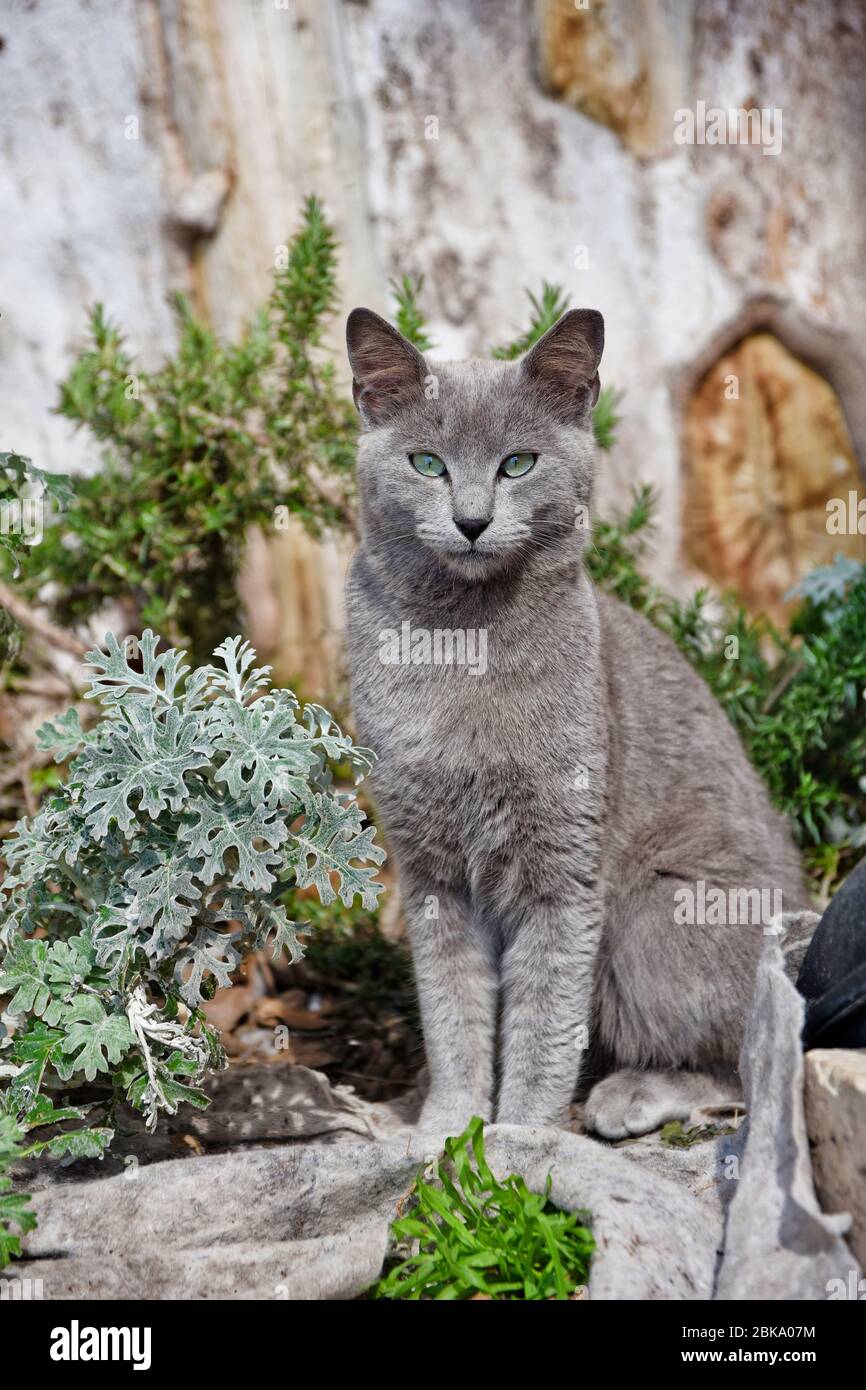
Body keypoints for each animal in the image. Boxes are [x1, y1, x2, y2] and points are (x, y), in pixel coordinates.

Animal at [343, 307, 806, 1139]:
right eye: (427, 464)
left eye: (517, 464)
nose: (471, 520)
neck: (462, 639)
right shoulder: (428, 869)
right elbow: (451, 1009)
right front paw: (445, 1123)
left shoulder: (563, 868)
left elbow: (544, 1018)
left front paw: (522, 1135)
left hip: (655, 916)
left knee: (753, 1058)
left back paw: (630, 1096)